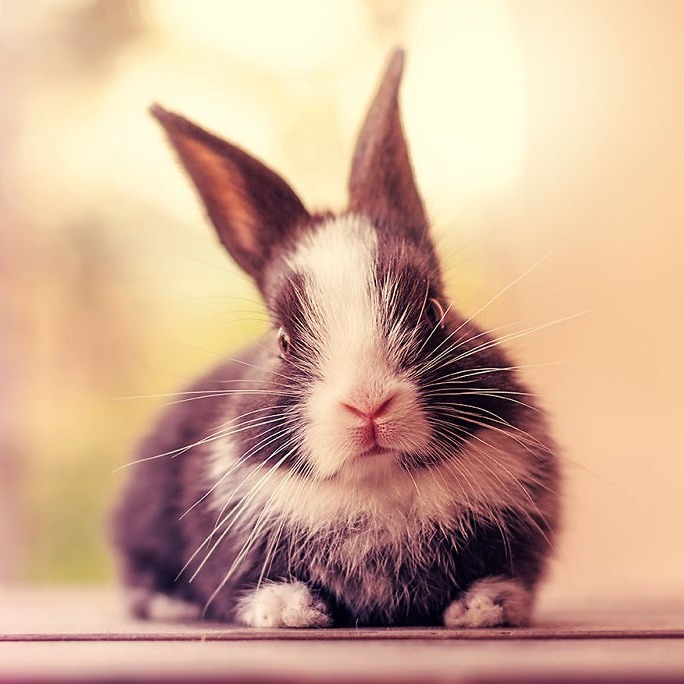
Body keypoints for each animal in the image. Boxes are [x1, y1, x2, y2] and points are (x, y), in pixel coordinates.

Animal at [111, 49, 560, 629]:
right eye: (283, 339)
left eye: (434, 308)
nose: (367, 404)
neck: (378, 482)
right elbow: (253, 585)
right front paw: (288, 610)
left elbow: (503, 572)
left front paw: (486, 606)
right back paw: (169, 605)